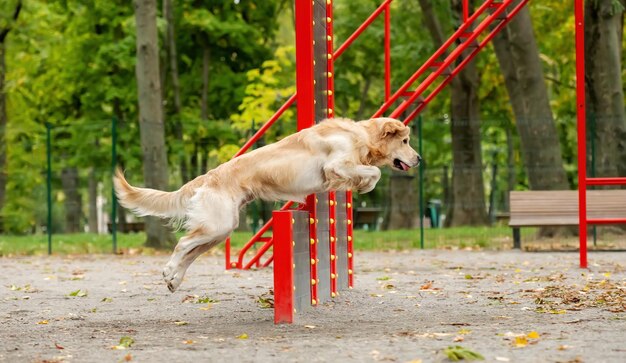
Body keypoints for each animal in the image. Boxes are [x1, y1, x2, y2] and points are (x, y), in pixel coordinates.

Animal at [115, 117, 422, 292]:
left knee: (190, 253)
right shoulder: (335, 164)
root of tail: (208, 176)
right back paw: (168, 272)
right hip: (217, 226)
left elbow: (371, 171)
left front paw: (362, 185)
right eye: (406, 141)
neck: (359, 136)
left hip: (220, 231)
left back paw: (174, 281)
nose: (419, 159)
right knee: (182, 244)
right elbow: (374, 171)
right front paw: (365, 184)